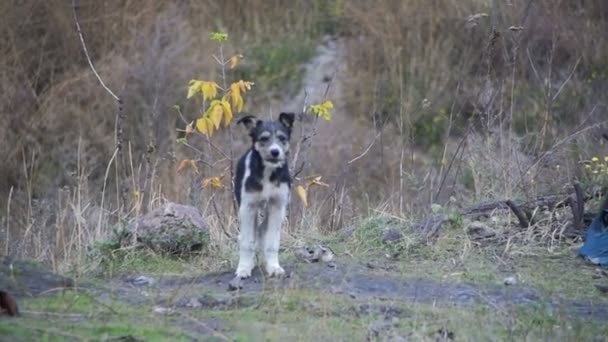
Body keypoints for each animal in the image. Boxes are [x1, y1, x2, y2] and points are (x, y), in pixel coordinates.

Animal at [233, 112, 294, 278]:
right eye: (264, 138)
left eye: (282, 138)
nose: (275, 152)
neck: (268, 172)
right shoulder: (248, 207)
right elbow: (247, 242)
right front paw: (243, 268)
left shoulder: (277, 207)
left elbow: (272, 242)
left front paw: (273, 267)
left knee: (262, 232)